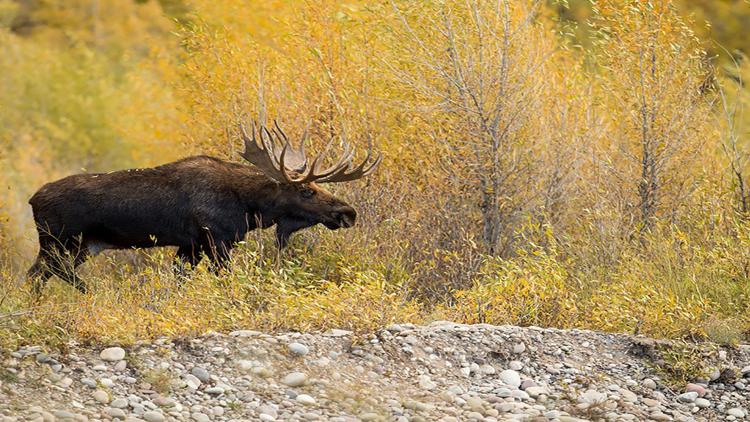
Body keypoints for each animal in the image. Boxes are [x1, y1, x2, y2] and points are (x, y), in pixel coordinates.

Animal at [27, 122, 382, 294]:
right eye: (307, 190)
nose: (347, 213)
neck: (250, 206)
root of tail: (32, 200)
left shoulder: (191, 245)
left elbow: (179, 281)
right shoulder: (217, 240)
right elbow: (225, 280)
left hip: (77, 246)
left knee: (37, 275)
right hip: (61, 242)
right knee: (48, 273)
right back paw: (91, 292)